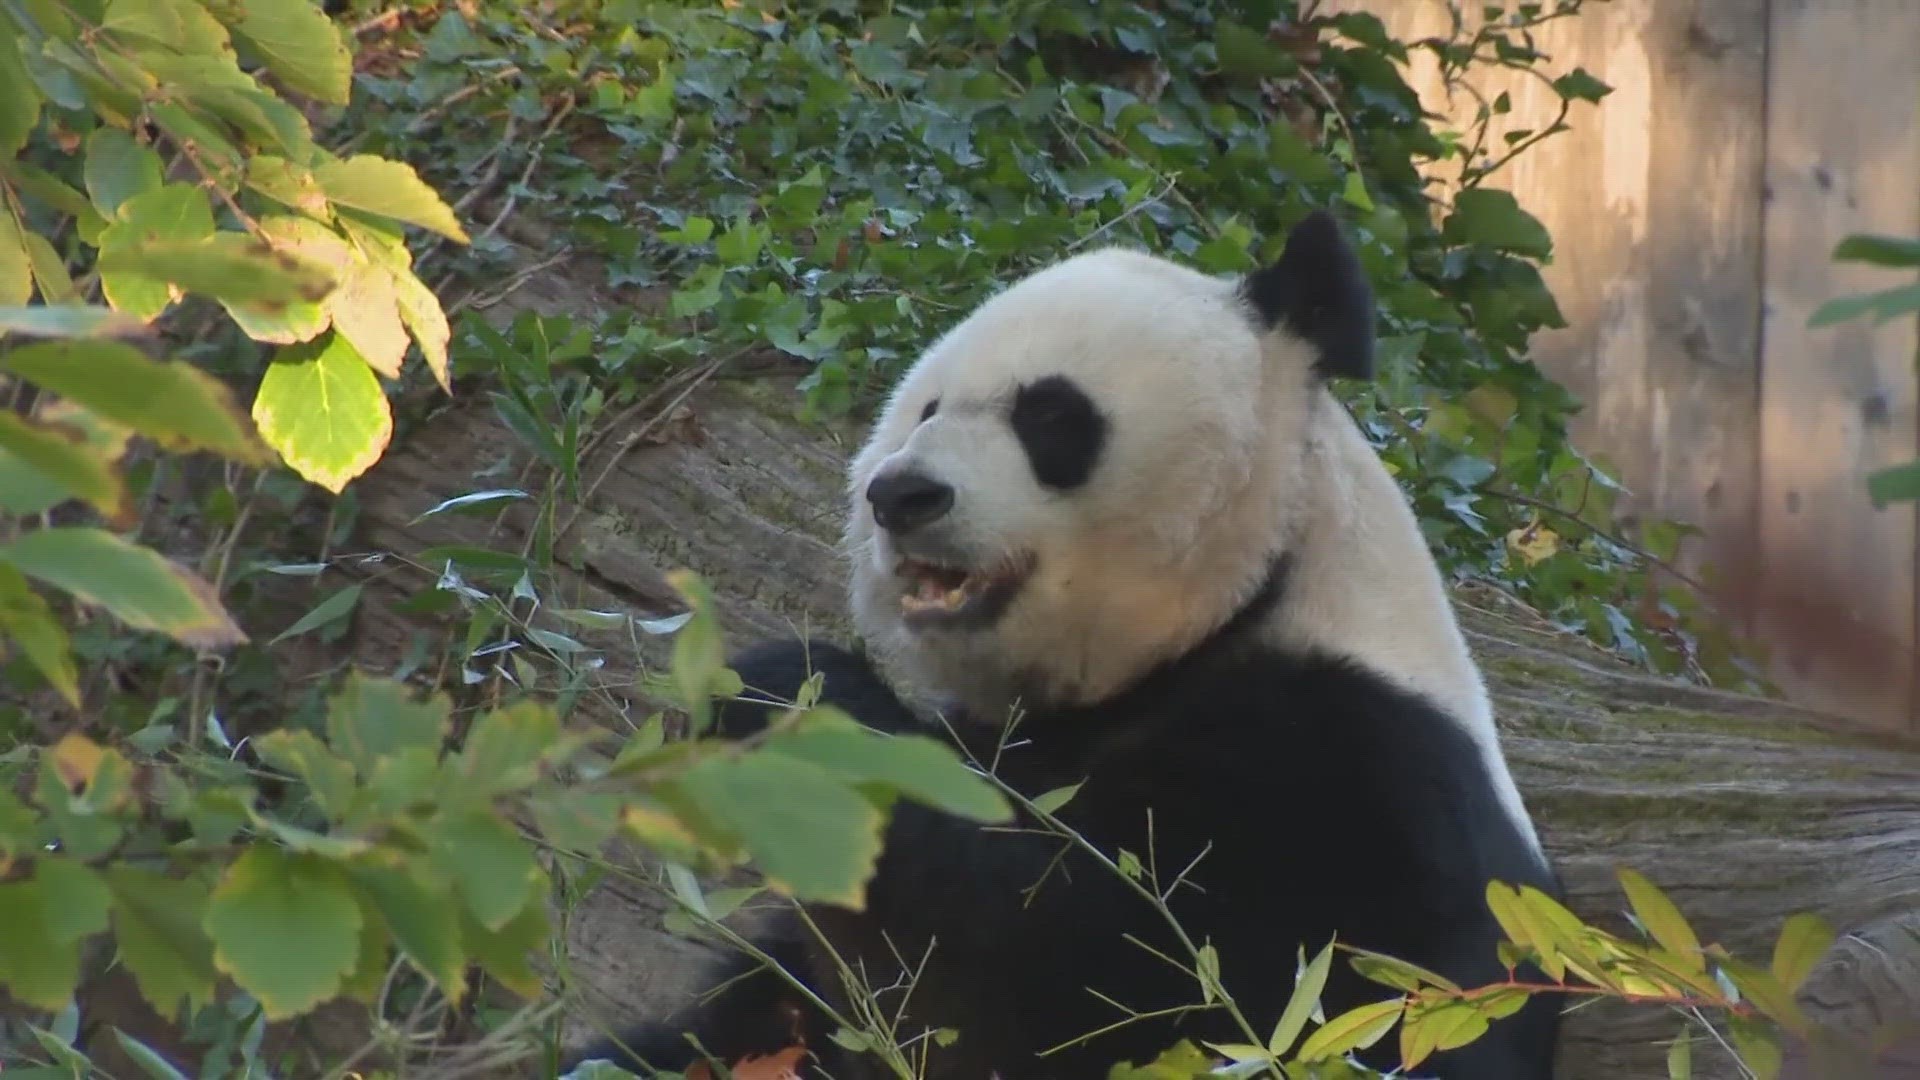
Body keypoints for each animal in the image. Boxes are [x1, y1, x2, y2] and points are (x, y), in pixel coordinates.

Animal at [564, 210, 1559, 1076]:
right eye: (927, 407)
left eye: (1048, 414)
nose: (902, 495)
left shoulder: (1348, 775)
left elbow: (1077, 951)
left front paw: (790, 696)